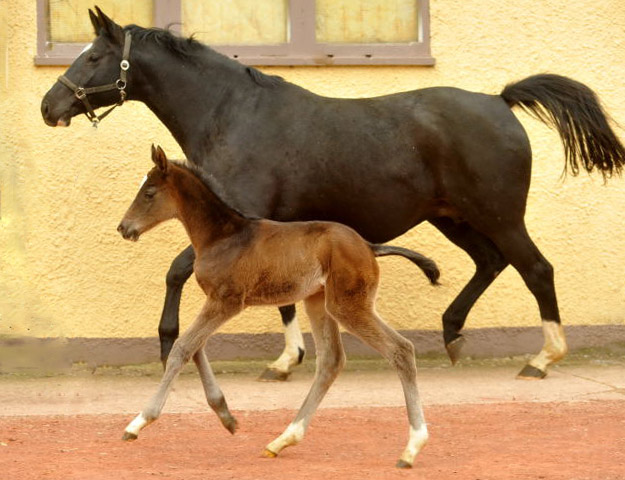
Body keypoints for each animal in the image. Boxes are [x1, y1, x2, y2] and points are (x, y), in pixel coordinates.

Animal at [41, 7, 620, 380]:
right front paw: (285, 360)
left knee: (536, 269)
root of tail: (500, 101)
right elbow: (279, 292)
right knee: (491, 263)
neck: (232, 114)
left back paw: (542, 359)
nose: (49, 107)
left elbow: (178, 271)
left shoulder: (242, 218)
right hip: (452, 217)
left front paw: (168, 346)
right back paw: (453, 335)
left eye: (92, 58)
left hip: (500, 215)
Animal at [117, 146, 438, 468]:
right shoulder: (215, 302)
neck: (222, 236)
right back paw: (282, 440)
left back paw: (411, 448)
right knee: (331, 360)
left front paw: (139, 422)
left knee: (400, 349)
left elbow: (183, 347)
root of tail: (370, 247)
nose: (123, 228)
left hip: (348, 305)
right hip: (318, 301)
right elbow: (196, 347)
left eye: (149, 192)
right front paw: (226, 416)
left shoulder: (226, 301)